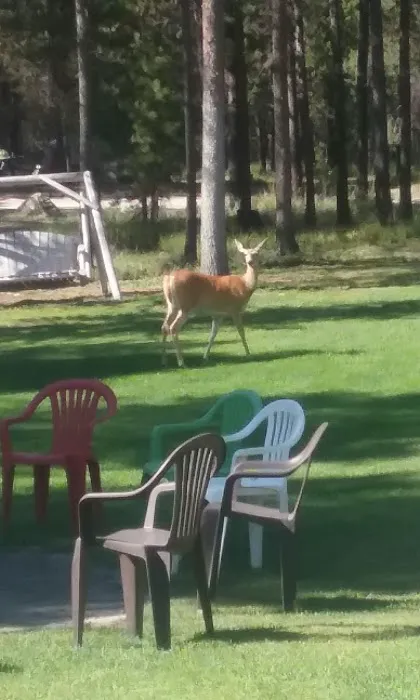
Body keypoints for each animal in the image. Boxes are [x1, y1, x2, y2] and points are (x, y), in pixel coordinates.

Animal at [161, 238, 267, 367]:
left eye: (256, 253)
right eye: (245, 254)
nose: (249, 262)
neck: (245, 285)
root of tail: (170, 277)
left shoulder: (218, 314)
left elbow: (213, 334)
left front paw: (205, 356)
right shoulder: (235, 309)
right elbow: (241, 331)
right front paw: (248, 354)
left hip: (172, 305)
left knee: (164, 326)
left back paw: (164, 360)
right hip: (186, 305)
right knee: (173, 327)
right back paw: (181, 362)